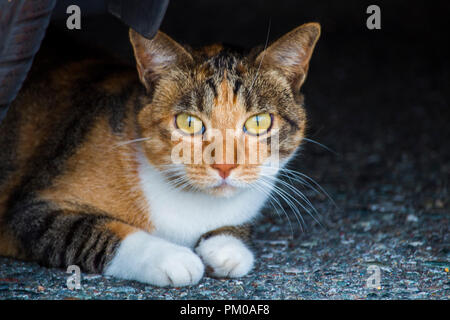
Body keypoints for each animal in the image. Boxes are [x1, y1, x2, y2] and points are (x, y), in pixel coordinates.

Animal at [0, 23, 320, 288]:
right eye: (188, 122)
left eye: (259, 122)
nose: (224, 165)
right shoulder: (29, 210)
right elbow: (87, 231)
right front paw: (170, 258)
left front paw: (227, 248)